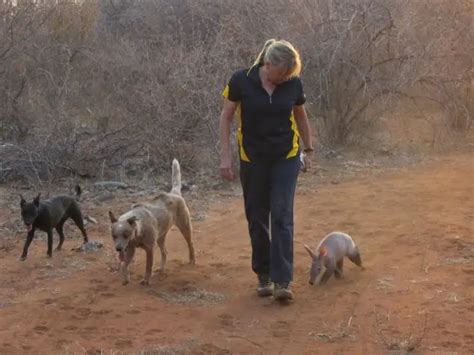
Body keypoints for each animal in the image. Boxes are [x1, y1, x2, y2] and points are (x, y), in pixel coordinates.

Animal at [109, 160, 194, 288]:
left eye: (126, 234)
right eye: (114, 236)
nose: (118, 249)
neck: (138, 231)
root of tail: (174, 193)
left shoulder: (149, 249)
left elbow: (148, 266)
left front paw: (146, 280)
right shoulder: (130, 249)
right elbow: (124, 265)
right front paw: (125, 279)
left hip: (185, 227)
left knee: (190, 244)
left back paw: (192, 260)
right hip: (160, 238)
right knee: (165, 252)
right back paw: (161, 269)